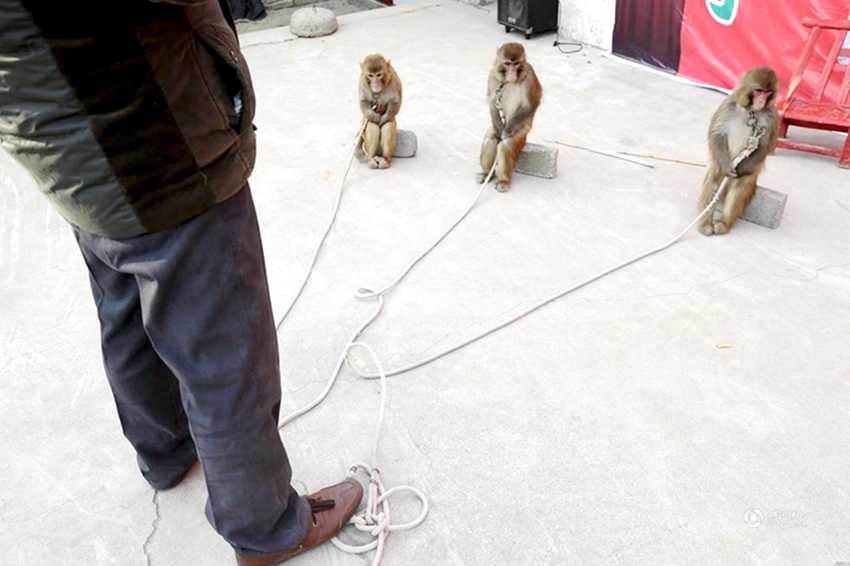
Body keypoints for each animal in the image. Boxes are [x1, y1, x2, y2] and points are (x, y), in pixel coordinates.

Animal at [476, 42, 544, 193]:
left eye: (516, 63)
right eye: (507, 64)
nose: (512, 73)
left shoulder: (529, 77)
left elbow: (529, 105)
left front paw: (506, 131)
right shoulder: (492, 76)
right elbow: (492, 102)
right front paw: (499, 129)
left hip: (522, 135)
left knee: (506, 145)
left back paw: (503, 180)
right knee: (491, 139)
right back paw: (486, 173)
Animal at [696, 66, 776, 235]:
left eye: (768, 92)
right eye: (759, 90)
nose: (761, 100)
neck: (751, 110)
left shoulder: (772, 116)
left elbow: (764, 146)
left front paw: (738, 170)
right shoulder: (729, 104)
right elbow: (717, 133)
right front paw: (728, 167)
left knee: (741, 186)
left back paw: (724, 224)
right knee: (713, 176)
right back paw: (705, 223)